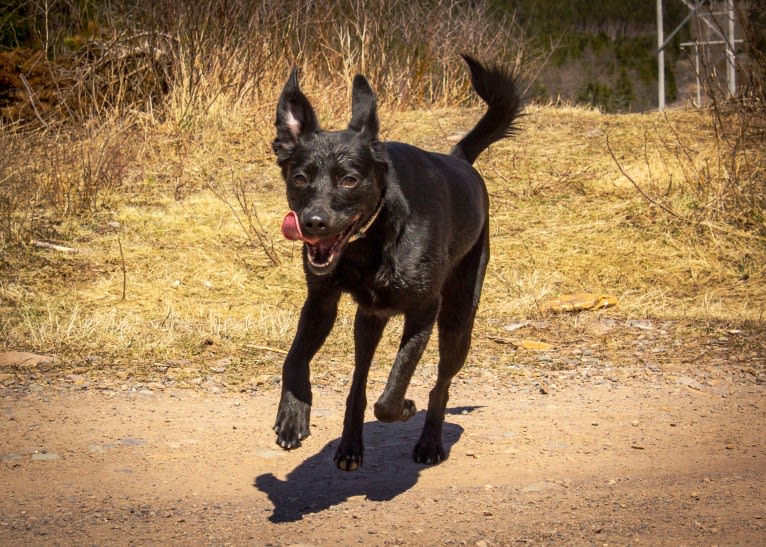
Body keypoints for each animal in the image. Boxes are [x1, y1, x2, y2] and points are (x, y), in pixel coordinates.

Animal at [270, 54, 520, 470]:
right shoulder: (320, 302)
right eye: (300, 177)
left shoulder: (424, 310)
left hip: (457, 322)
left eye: (349, 180)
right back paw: (350, 446)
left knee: (441, 385)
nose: (313, 223)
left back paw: (430, 442)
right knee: (358, 382)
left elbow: (394, 389)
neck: (369, 240)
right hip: (368, 321)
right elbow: (294, 357)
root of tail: (461, 161)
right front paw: (292, 414)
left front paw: (404, 407)